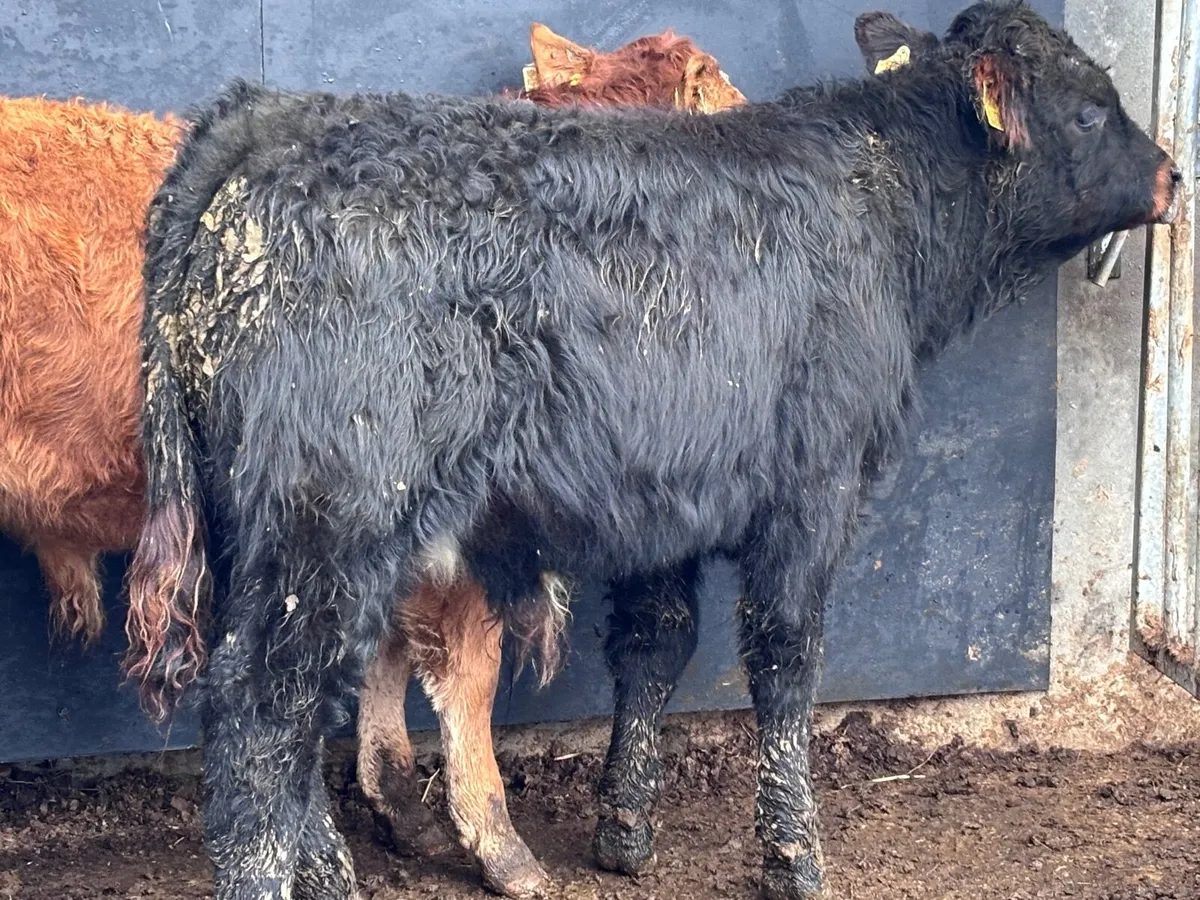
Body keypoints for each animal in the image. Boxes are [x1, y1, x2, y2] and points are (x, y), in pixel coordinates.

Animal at [125, 2, 1179, 899]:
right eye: (1090, 111)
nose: (1173, 173)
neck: (881, 205)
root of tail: (265, 117)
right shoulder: (815, 485)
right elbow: (785, 659)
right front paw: (794, 854)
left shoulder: (665, 491)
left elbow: (654, 644)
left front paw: (624, 828)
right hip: (333, 517)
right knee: (262, 709)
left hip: (260, 527)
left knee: (286, 705)